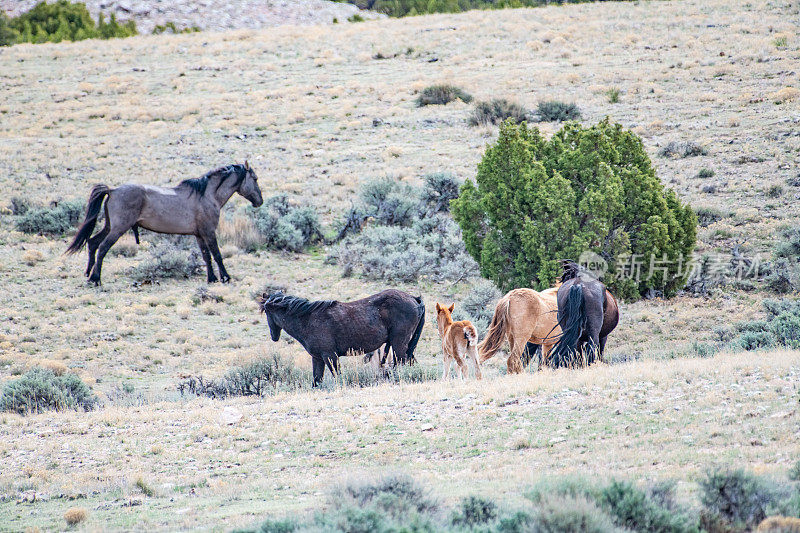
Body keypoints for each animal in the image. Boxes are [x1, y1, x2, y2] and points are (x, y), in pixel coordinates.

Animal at [66, 162, 262, 284]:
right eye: (255, 178)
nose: (259, 201)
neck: (206, 195)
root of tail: (112, 190)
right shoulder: (209, 232)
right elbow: (217, 255)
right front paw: (226, 278)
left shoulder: (199, 235)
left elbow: (206, 256)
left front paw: (212, 279)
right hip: (118, 229)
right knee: (102, 248)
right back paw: (95, 279)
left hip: (109, 227)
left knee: (93, 243)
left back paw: (88, 274)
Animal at [260, 288, 428, 384]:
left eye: (266, 311)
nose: (274, 336)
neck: (308, 319)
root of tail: (414, 299)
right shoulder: (318, 358)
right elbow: (316, 381)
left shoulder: (330, 356)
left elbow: (338, 377)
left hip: (399, 343)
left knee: (401, 363)